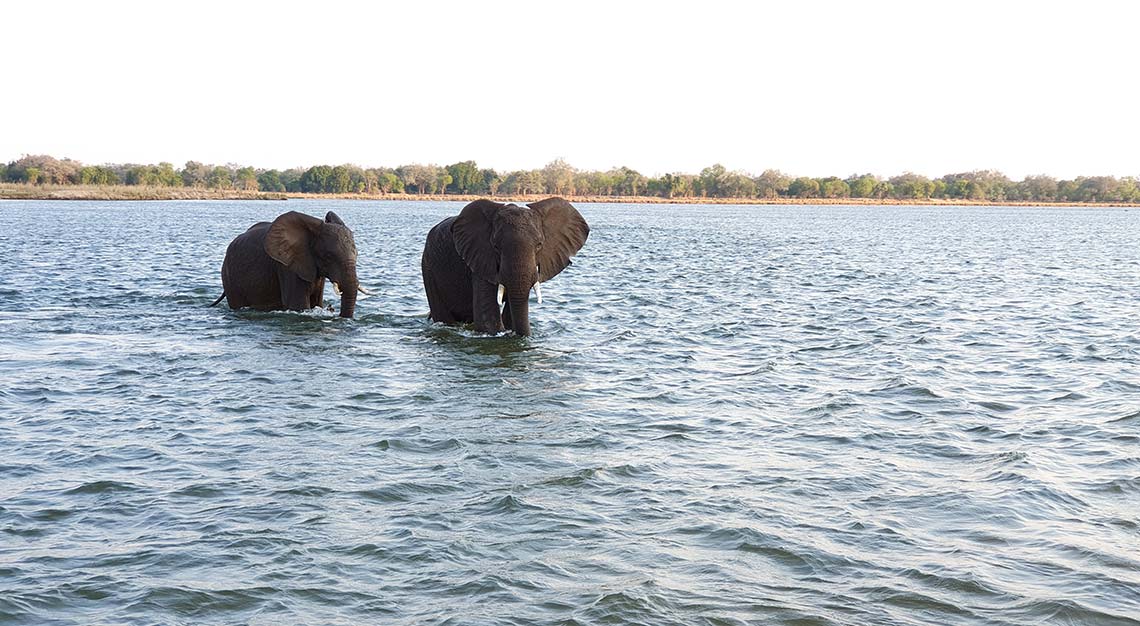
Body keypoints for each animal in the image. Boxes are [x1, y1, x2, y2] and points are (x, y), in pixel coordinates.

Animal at [210, 209, 360, 316]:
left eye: (357, 254)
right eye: (328, 256)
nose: (333, 310)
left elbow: (317, 302)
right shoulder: (286, 266)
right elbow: (298, 304)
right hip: (229, 278)